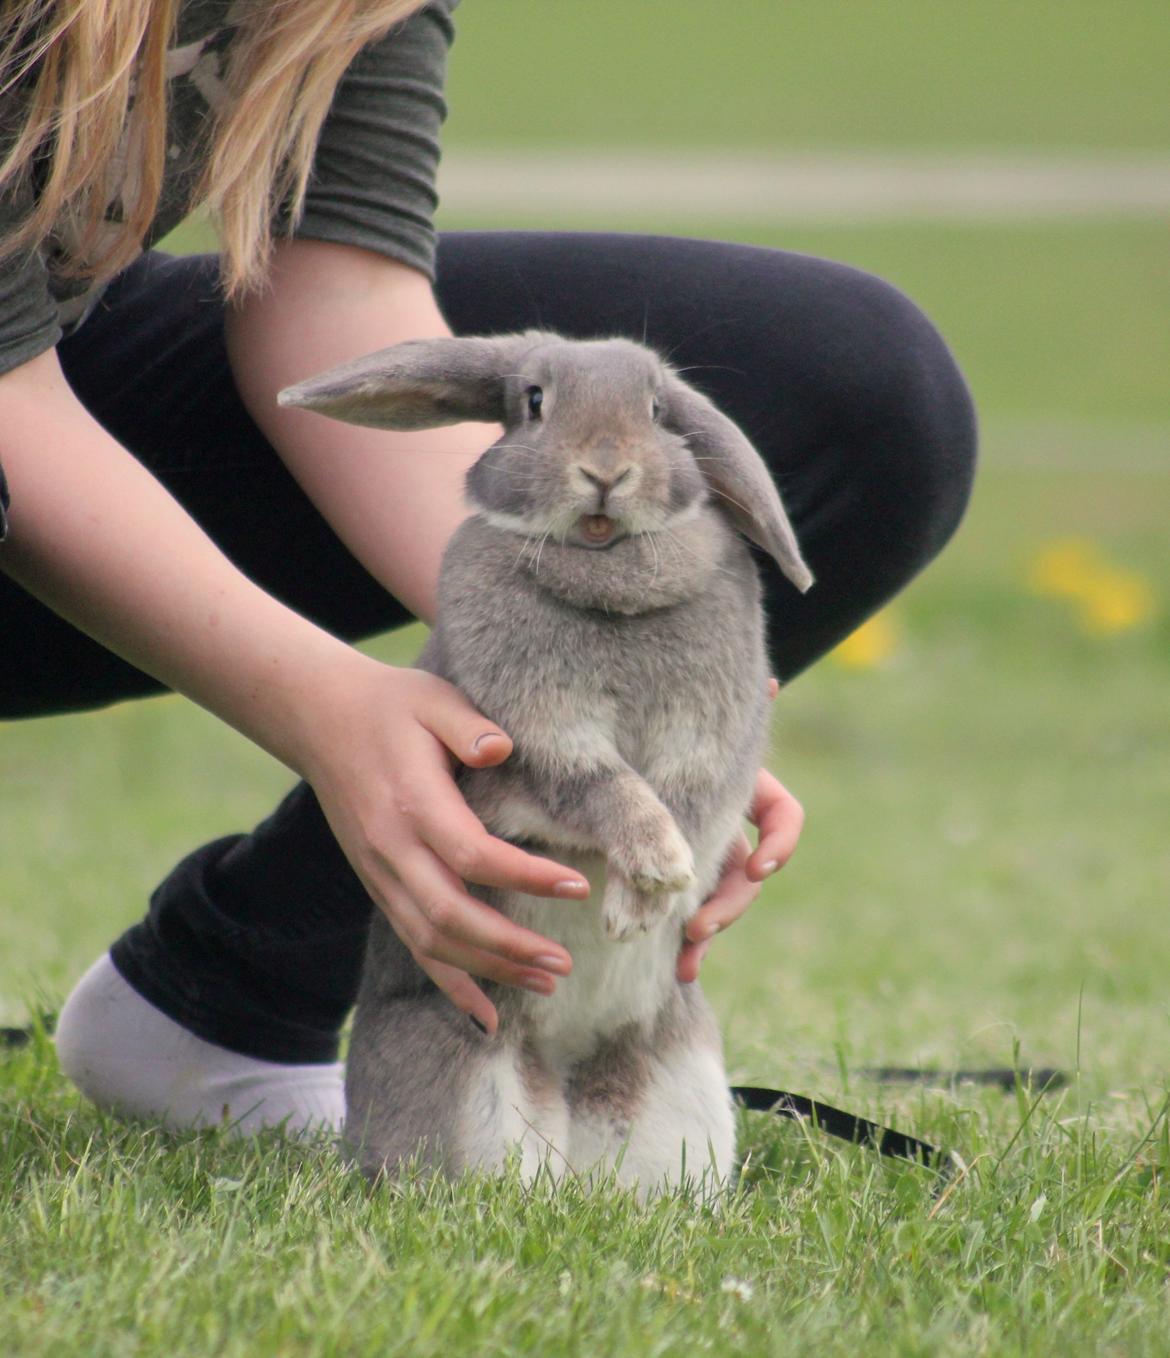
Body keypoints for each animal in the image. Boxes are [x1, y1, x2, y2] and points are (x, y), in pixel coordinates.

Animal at [280, 334, 814, 1195]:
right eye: (534, 402)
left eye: (658, 409)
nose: (605, 469)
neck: (607, 573)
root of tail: (567, 1067)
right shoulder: (527, 738)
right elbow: (598, 787)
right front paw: (650, 876)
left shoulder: (711, 730)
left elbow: (691, 797)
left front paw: (651, 893)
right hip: (470, 1075)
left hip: (680, 1075)